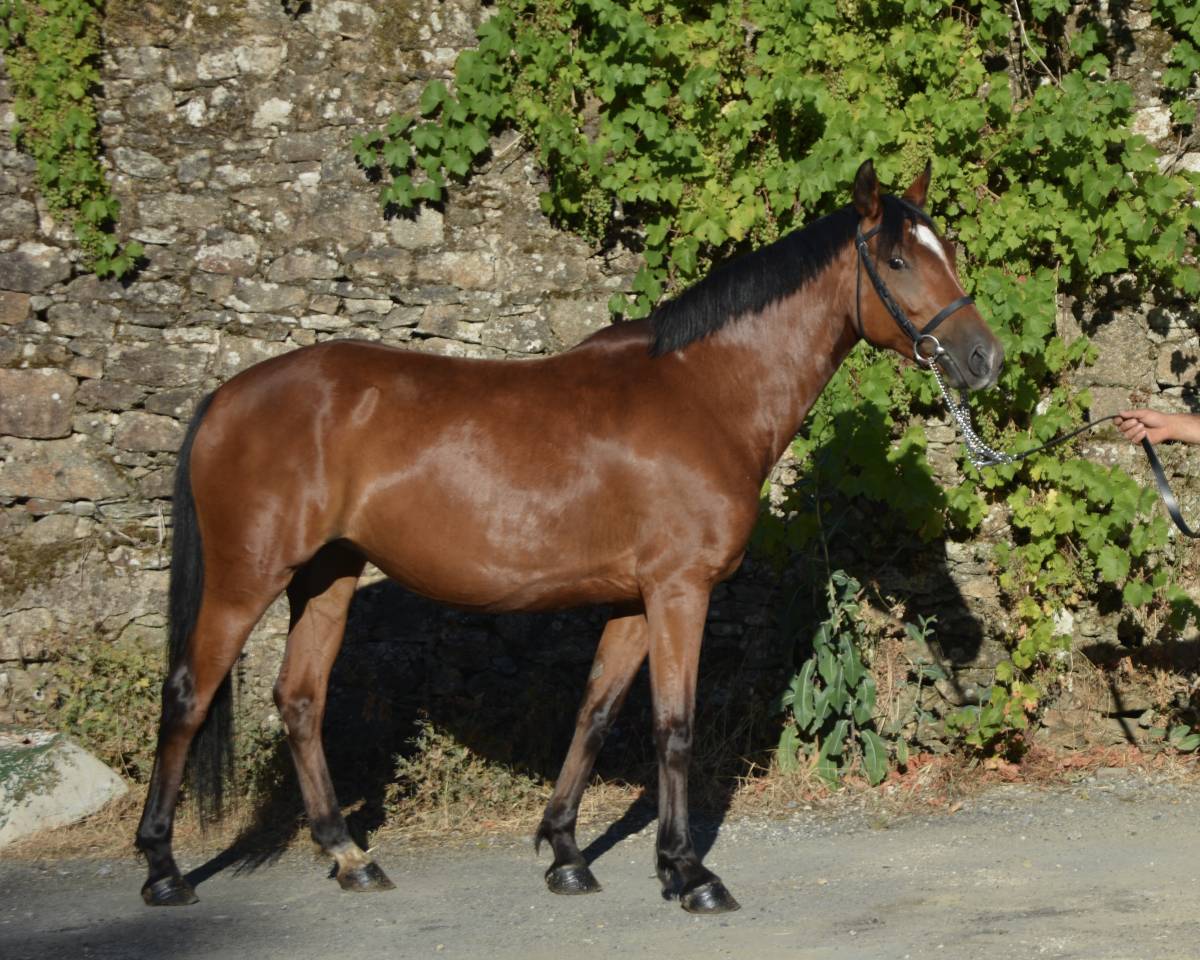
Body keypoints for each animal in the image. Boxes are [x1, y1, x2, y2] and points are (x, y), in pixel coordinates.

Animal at [135, 159, 1003, 914]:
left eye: (952, 251)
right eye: (897, 259)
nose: (984, 359)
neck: (706, 393)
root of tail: (226, 397)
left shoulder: (632, 601)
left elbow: (595, 714)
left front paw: (566, 854)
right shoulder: (679, 592)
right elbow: (674, 728)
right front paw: (689, 874)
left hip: (329, 577)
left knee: (300, 700)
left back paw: (350, 858)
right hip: (246, 579)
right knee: (188, 696)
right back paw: (164, 869)